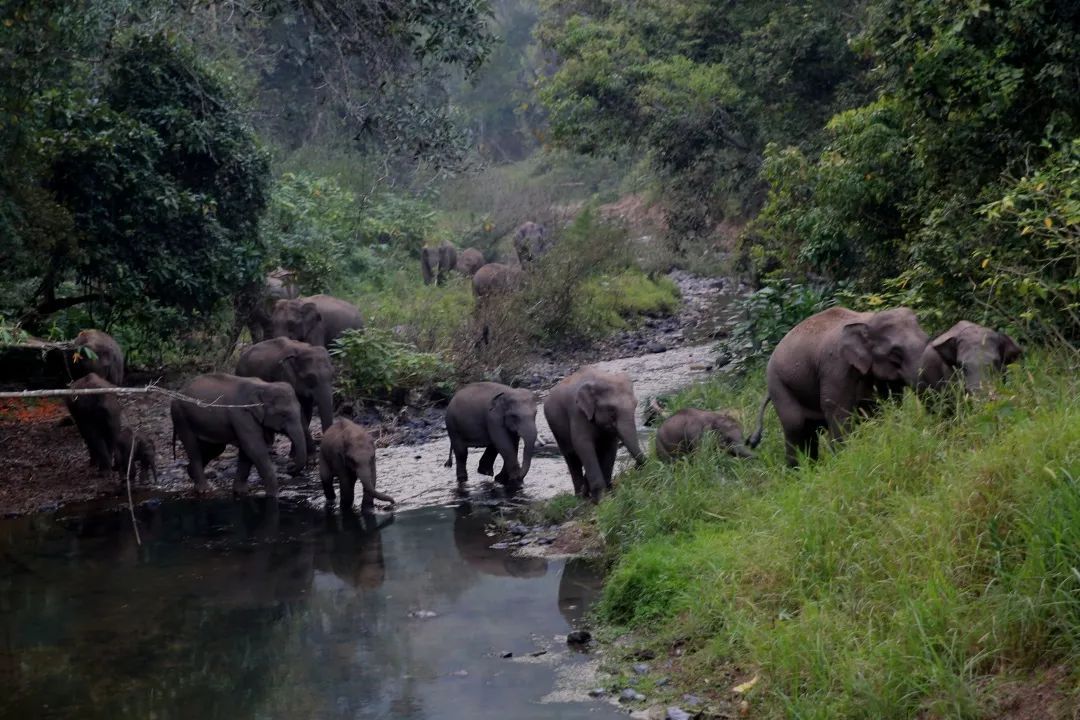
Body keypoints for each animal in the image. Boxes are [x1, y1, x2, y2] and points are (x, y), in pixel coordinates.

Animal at [170, 371, 308, 496]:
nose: (290, 466)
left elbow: (247, 452)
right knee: (193, 448)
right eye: (283, 414)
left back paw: (191, 473)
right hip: (180, 416)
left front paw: (241, 492)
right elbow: (254, 448)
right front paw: (273, 494)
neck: (264, 386)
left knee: (215, 448)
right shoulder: (242, 414)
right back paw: (203, 490)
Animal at [544, 367, 643, 500]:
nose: (636, 467)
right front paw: (601, 500)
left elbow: (610, 446)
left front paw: (609, 494)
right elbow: (582, 445)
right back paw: (580, 497)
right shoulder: (577, 412)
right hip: (557, 429)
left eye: (636, 404)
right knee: (571, 458)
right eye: (611, 410)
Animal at [747, 306, 933, 464]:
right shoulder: (836, 367)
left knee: (810, 431)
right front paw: (844, 460)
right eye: (895, 352)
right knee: (795, 426)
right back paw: (798, 473)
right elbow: (838, 410)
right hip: (778, 385)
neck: (868, 319)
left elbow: (888, 404)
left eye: (927, 340)